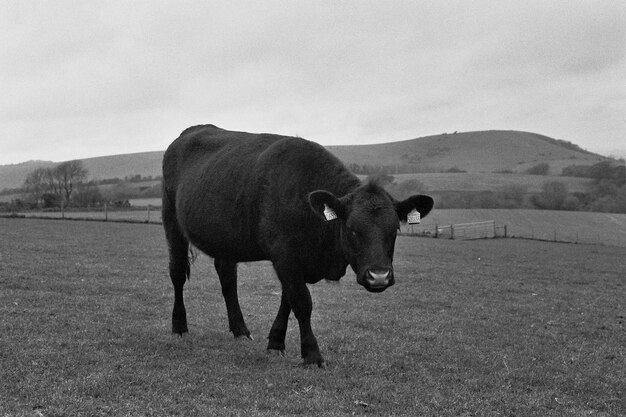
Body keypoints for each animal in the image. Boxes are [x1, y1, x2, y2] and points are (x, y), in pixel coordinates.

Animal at [161, 125, 432, 366]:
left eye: (394, 230)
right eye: (352, 230)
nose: (379, 277)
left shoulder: (294, 261)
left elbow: (288, 300)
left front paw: (275, 343)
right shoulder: (285, 256)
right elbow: (302, 302)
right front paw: (312, 355)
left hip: (226, 239)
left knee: (227, 278)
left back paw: (240, 330)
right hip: (172, 221)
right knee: (177, 273)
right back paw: (179, 326)